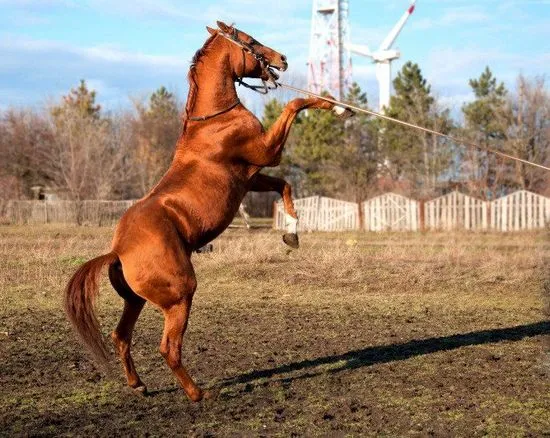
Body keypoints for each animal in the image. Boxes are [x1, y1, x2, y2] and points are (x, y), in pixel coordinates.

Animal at [66, 21, 354, 404]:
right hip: (180, 296)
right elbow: (295, 103)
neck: (215, 120)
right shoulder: (267, 153)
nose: (281, 59)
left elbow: (284, 186)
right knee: (168, 348)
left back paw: (139, 385)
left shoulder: (252, 177)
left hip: (136, 301)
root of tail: (117, 251)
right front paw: (336, 107)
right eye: (249, 40)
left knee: (121, 336)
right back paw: (197, 393)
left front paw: (291, 233)